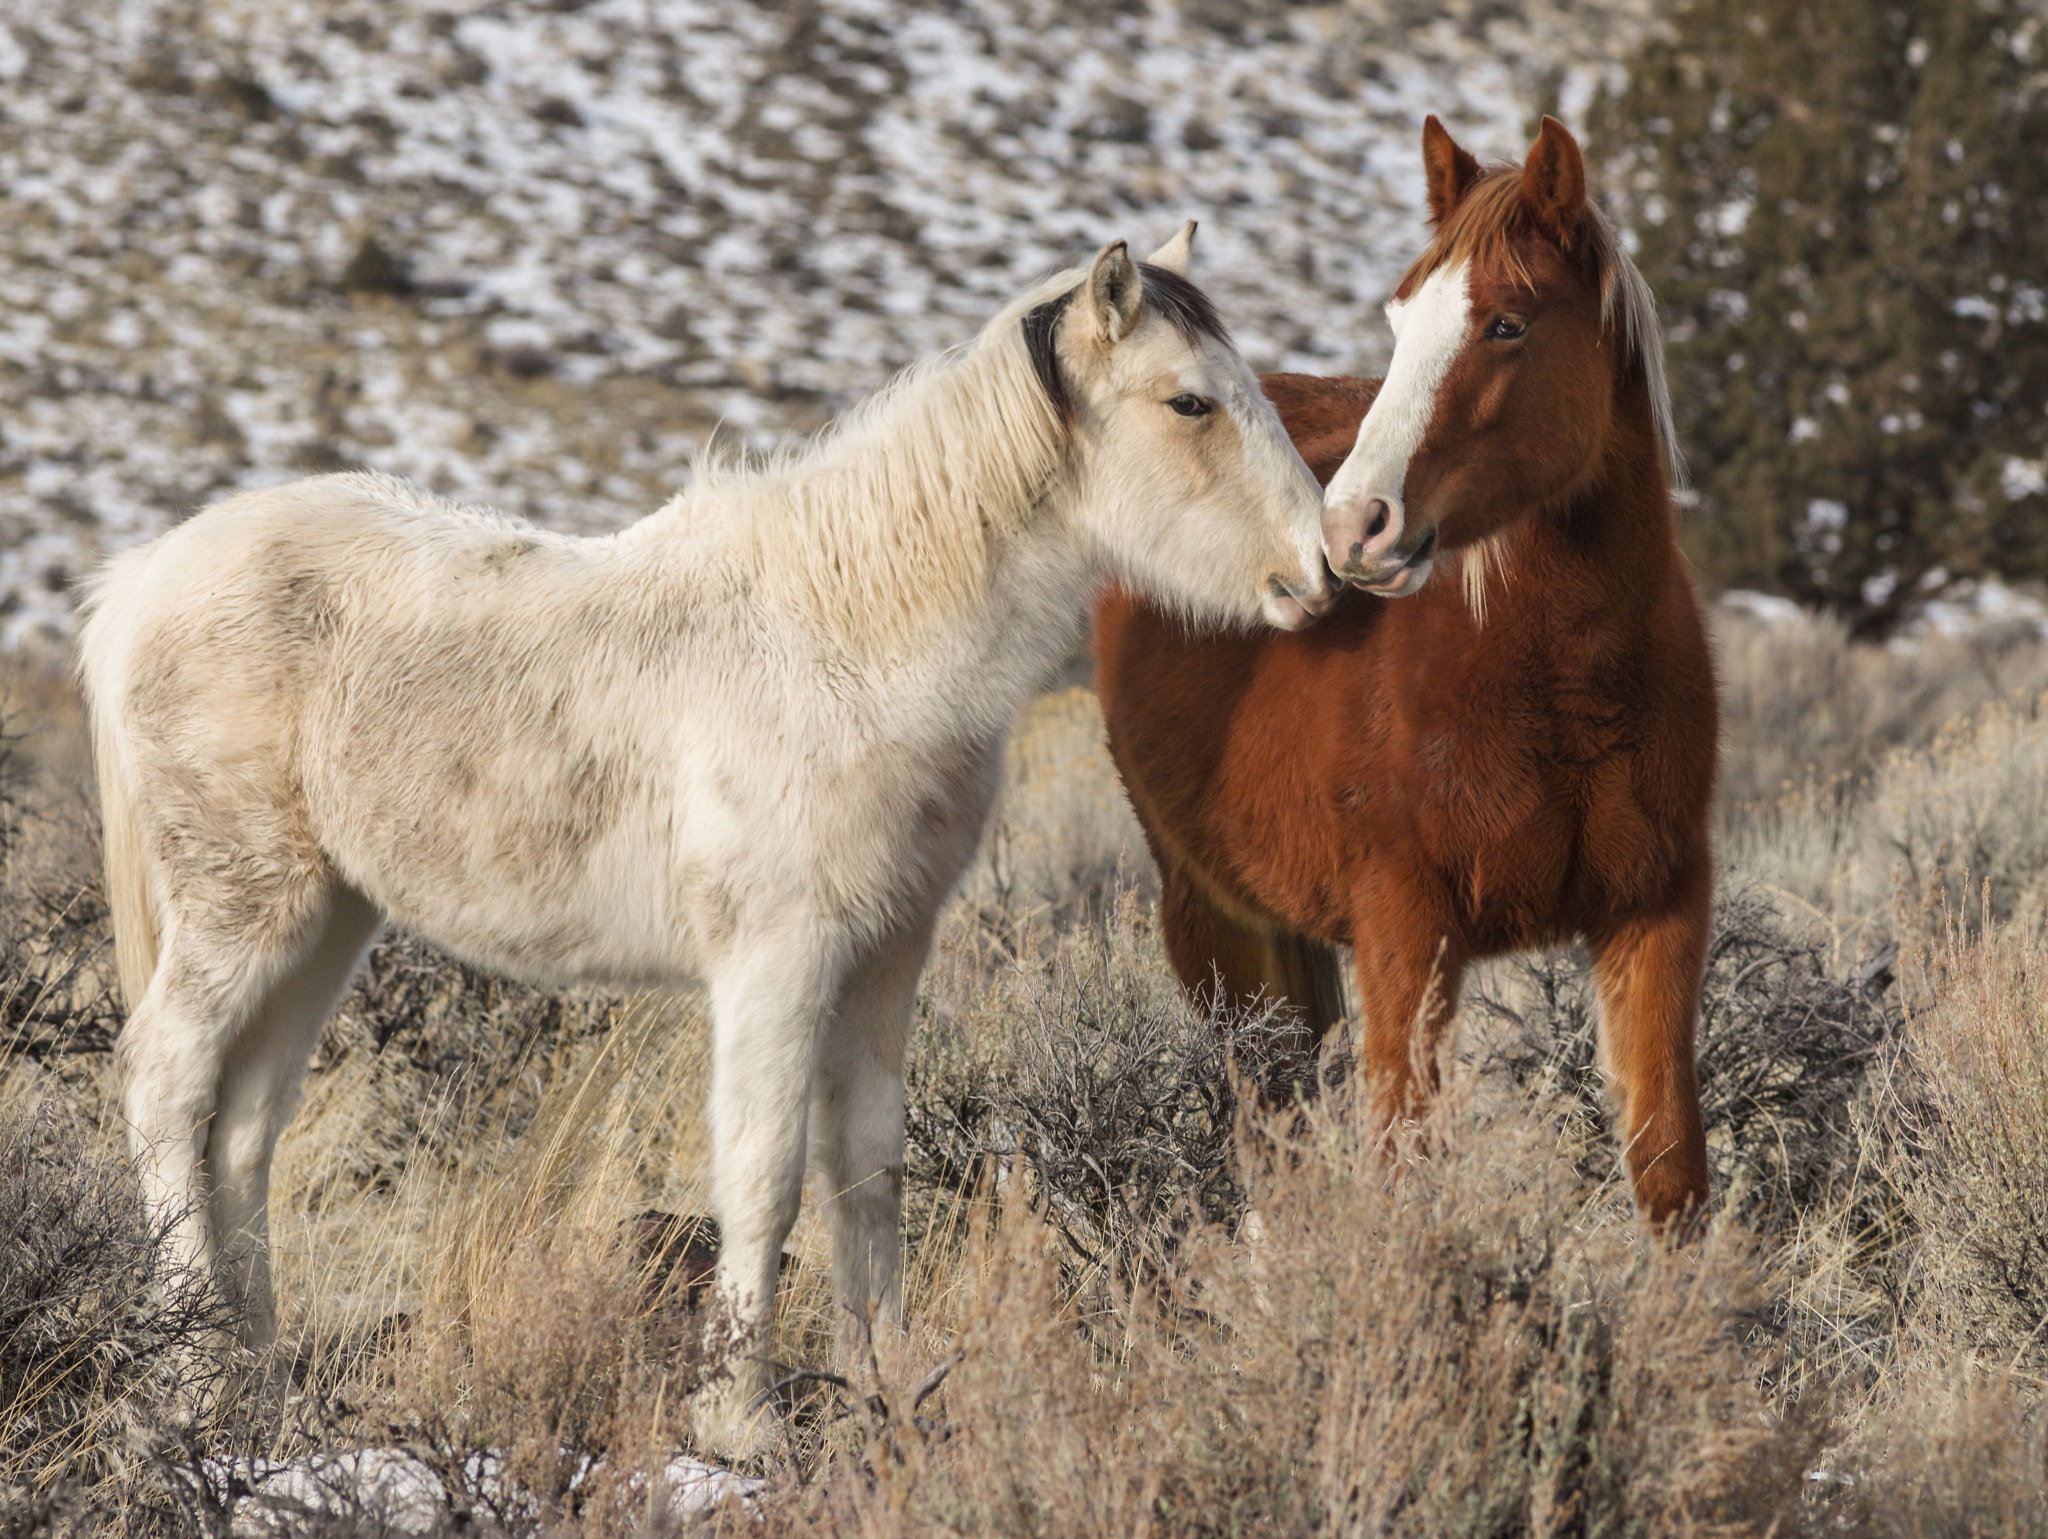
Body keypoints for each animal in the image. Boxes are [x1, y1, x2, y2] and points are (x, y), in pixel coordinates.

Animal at [75, 225, 1327, 1434]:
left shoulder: (885, 955)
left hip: (327, 921)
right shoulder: (778, 959)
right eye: (1189, 403)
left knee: (243, 1128)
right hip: (245, 908)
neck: (853, 641)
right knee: (169, 1083)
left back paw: (261, 1388)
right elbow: (763, 1175)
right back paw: (190, 1382)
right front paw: (740, 1421)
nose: (1321, 574)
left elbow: (865, 1169)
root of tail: (143, 579)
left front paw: (886, 1395)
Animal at [1097, 117, 1720, 1229]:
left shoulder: (1656, 914)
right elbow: (1403, 1164)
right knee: (1270, 1134)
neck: (1560, 678)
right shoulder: (1405, 928)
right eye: (1398, 319)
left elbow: (1666, 1170)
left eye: (1506, 324)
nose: (1351, 528)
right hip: (1214, 924)